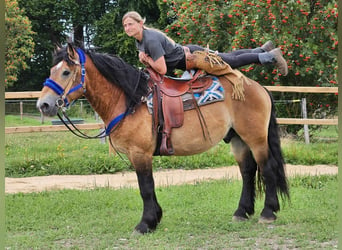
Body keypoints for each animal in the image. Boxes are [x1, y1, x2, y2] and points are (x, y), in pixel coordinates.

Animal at [36, 43, 288, 234]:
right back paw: (241, 212)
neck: (131, 99)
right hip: (238, 140)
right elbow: (148, 187)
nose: (44, 105)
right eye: (52, 70)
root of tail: (258, 87)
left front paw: (145, 224)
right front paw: (154, 218)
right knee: (247, 172)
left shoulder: (140, 153)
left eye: (66, 72)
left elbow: (145, 187)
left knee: (267, 169)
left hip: (256, 139)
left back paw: (268, 213)